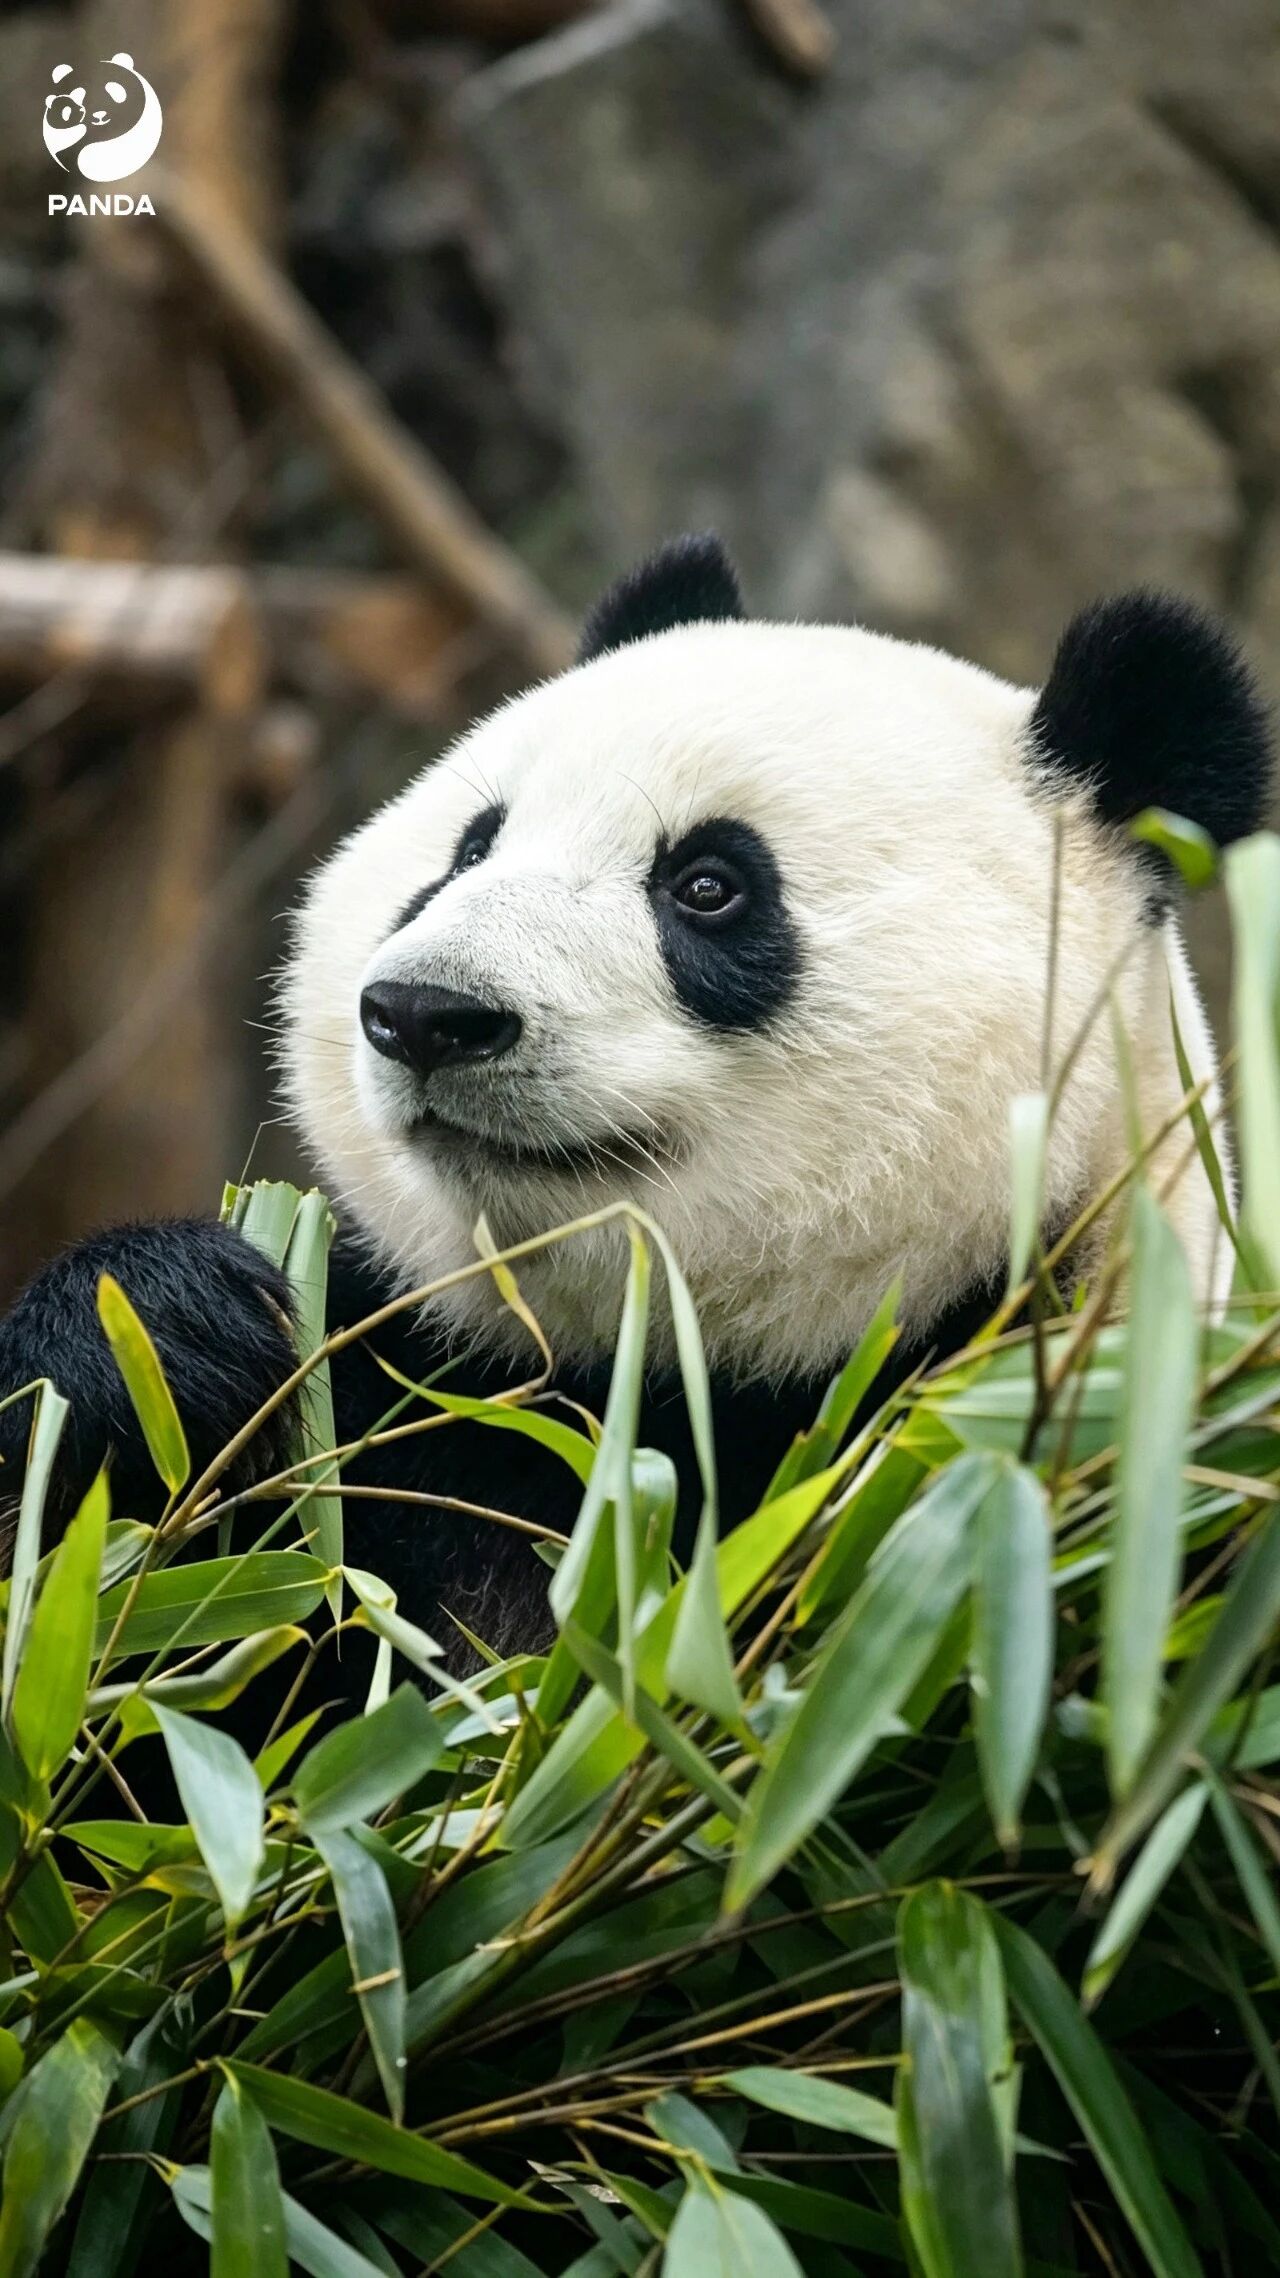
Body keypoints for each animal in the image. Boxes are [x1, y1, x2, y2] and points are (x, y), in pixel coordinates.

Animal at [0, 535, 1271, 1660]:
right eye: (469, 849)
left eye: (707, 885)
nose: (425, 1013)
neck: (644, 1387)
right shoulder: (407, 1405)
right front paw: (158, 1334)